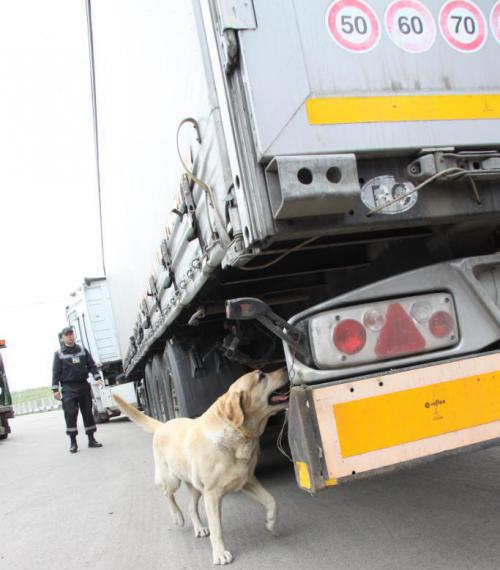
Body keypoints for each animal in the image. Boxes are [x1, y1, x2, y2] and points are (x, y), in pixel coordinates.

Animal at [111, 366, 288, 560]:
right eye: (261, 376)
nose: (285, 367)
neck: (235, 433)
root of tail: (162, 425)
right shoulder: (212, 495)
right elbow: (217, 528)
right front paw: (220, 553)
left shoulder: (247, 481)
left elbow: (272, 501)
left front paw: (270, 522)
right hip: (172, 480)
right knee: (167, 493)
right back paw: (177, 516)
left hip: (195, 488)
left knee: (191, 508)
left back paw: (199, 528)